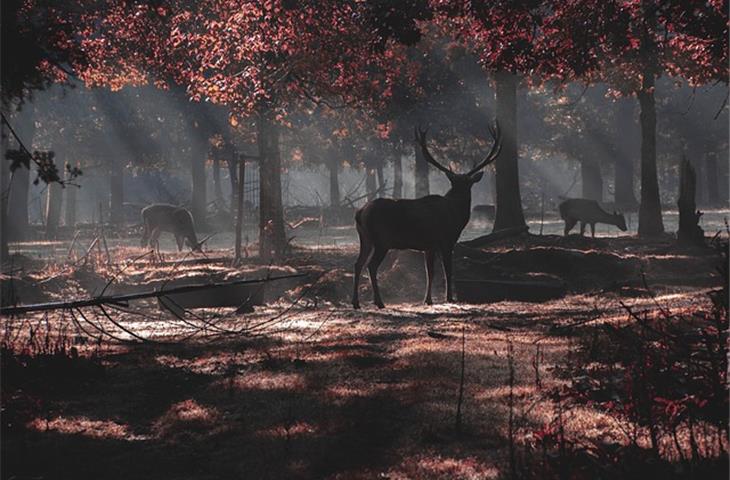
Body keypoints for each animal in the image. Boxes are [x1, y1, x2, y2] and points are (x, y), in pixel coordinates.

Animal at [348, 124, 498, 310]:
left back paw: (356, 302)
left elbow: (430, 272)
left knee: (358, 263)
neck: (456, 216)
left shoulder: (429, 246)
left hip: (365, 238)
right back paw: (379, 302)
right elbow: (448, 270)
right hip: (382, 240)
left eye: (466, 183)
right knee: (371, 265)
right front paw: (449, 298)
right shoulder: (446, 240)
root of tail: (360, 213)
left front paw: (428, 299)